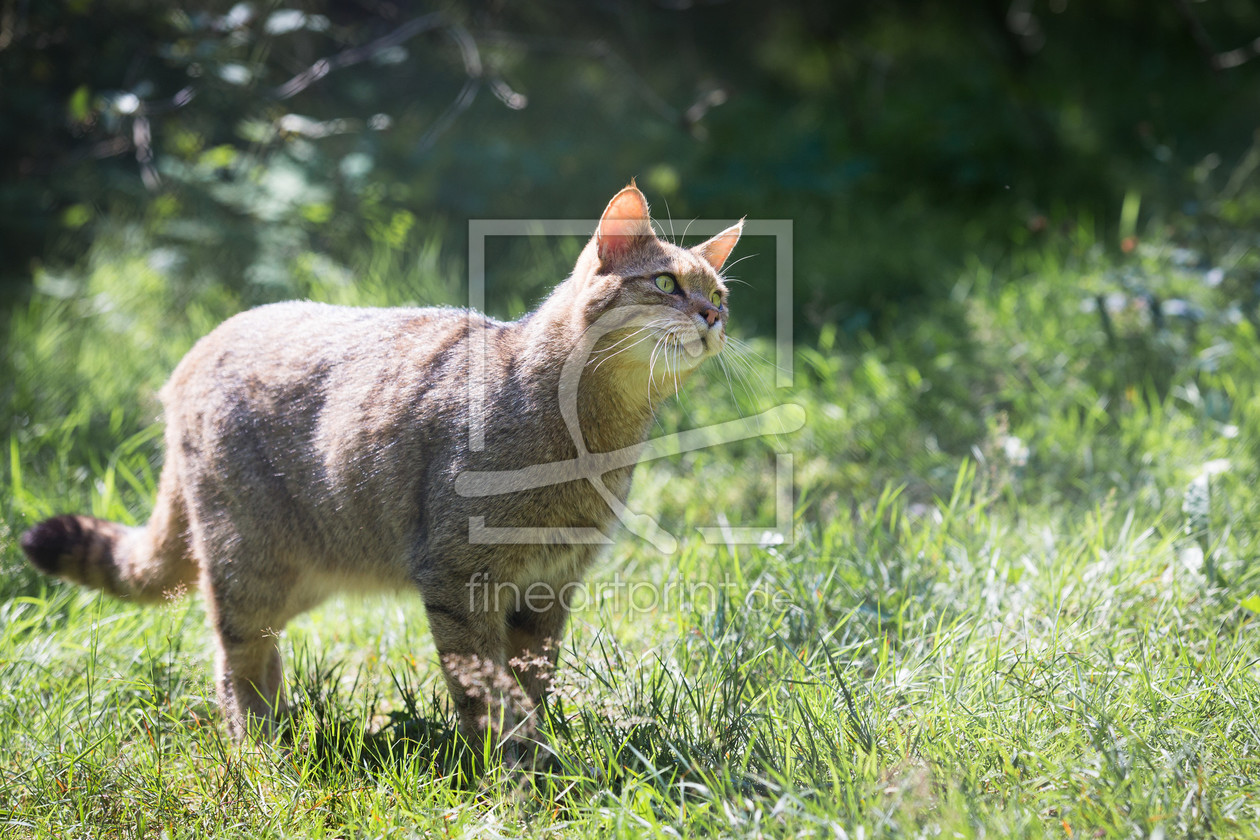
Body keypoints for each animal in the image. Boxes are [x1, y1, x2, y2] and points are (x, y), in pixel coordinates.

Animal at [19, 185, 740, 755]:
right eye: (667, 284)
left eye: (719, 292)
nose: (711, 316)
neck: (593, 434)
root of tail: (197, 350)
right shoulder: (460, 578)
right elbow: (486, 694)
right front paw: (509, 772)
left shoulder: (549, 589)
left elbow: (531, 685)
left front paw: (538, 757)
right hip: (246, 564)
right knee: (235, 665)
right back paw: (262, 757)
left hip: (305, 569)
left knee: (259, 658)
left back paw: (283, 735)